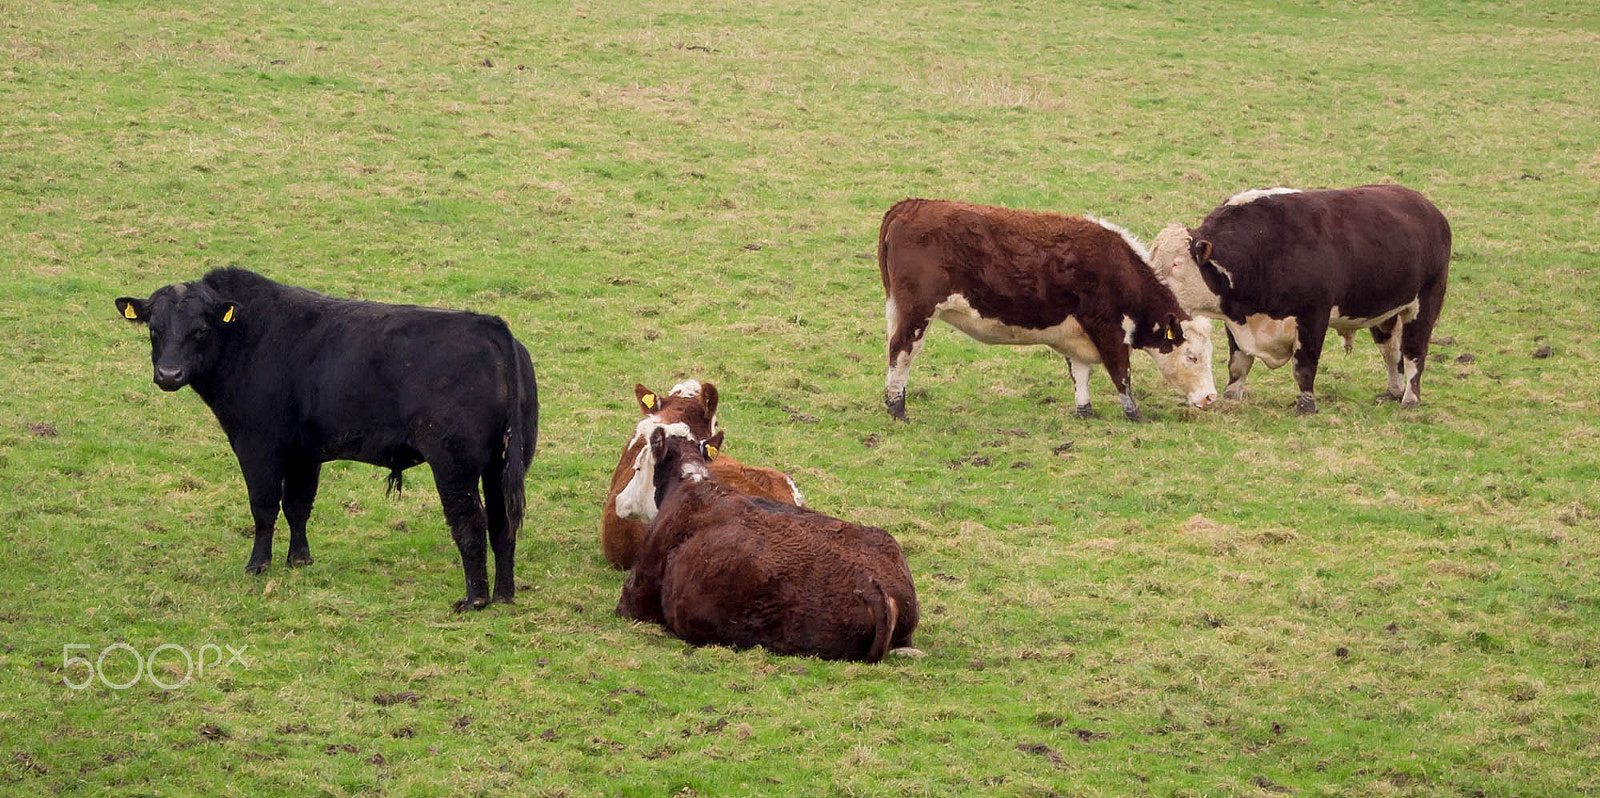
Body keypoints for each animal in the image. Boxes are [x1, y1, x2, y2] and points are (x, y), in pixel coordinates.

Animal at [114, 267, 539, 611]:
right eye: (154, 329)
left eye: (200, 330)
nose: (169, 374)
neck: (250, 337)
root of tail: (490, 326)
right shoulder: (305, 452)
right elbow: (298, 505)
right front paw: (299, 560)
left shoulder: (257, 445)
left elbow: (264, 507)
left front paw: (257, 565)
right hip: (501, 464)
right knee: (503, 522)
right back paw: (504, 594)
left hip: (454, 464)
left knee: (471, 523)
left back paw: (475, 599)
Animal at [878, 198, 1217, 423]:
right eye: (1192, 356)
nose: (1211, 397)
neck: (1119, 269)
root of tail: (910, 205)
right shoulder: (1108, 329)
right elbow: (1122, 374)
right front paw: (1135, 415)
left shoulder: (1078, 336)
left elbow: (1081, 373)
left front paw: (1085, 411)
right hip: (918, 311)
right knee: (902, 352)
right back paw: (898, 409)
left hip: (898, 309)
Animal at [1148, 184, 1451, 413]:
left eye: (1176, 264)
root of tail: (1428, 209)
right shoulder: (1236, 321)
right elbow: (1238, 364)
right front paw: (1231, 398)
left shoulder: (1313, 315)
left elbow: (1304, 366)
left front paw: (1306, 405)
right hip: (1385, 313)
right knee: (1392, 352)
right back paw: (1393, 391)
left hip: (1425, 304)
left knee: (1414, 353)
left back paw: (1410, 399)